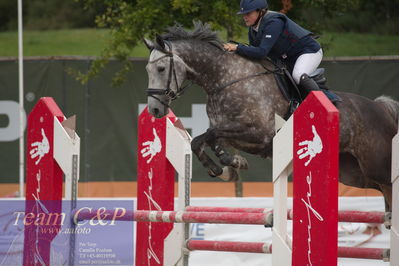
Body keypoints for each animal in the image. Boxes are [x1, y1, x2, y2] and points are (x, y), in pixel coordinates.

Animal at [144, 22, 399, 212]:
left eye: (161, 69)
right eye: (147, 70)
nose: (154, 110)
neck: (224, 77)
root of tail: (381, 108)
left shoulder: (259, 134)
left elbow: (207, 136)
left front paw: (228, 165)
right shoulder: (232, 131)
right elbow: (205, 140)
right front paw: (228, 167)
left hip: (377, 165)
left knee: (389, 186)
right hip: (354, 172)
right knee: (381, 190)